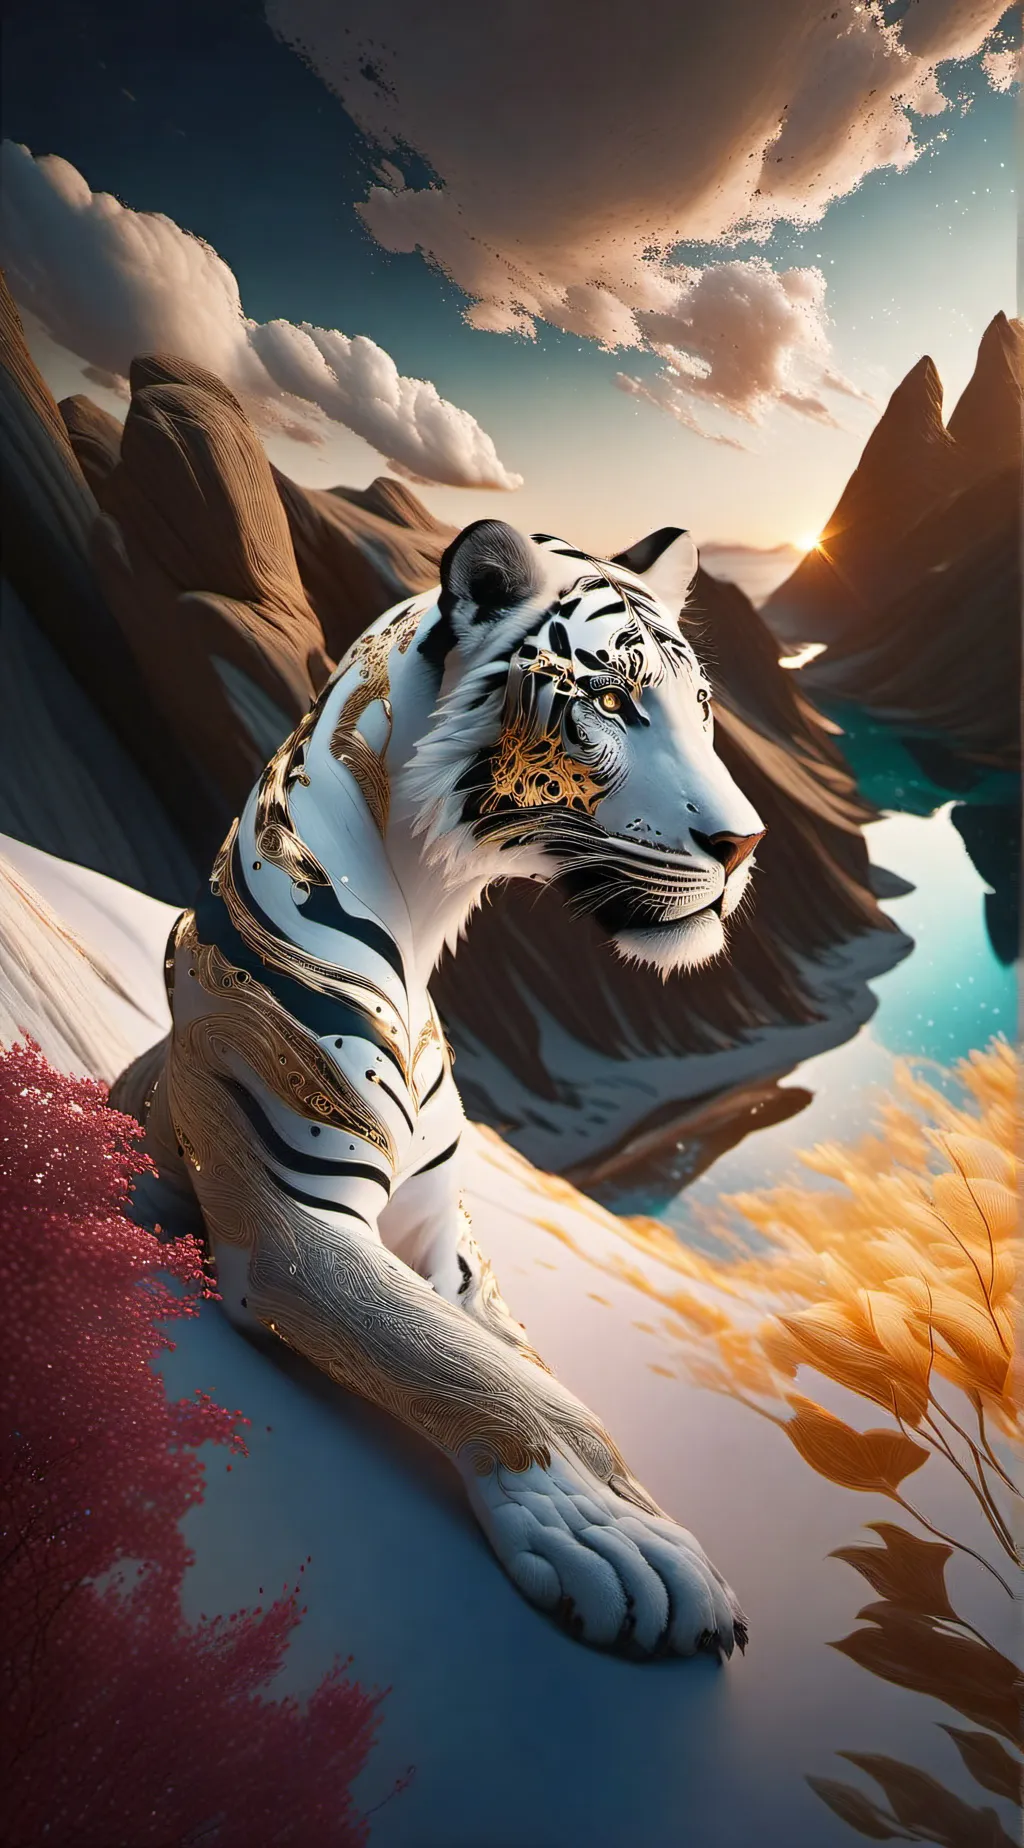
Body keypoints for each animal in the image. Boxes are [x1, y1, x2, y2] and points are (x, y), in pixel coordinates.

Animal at [124, 519, 765, 1662]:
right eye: (613, 703)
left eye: (700, 708)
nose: (745, 846)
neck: (425, 915)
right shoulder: (296, 1221)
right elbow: (468, 1366)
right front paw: (621, 1549)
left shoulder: (442, 1229)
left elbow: (516, 1353)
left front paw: (628, 1506)